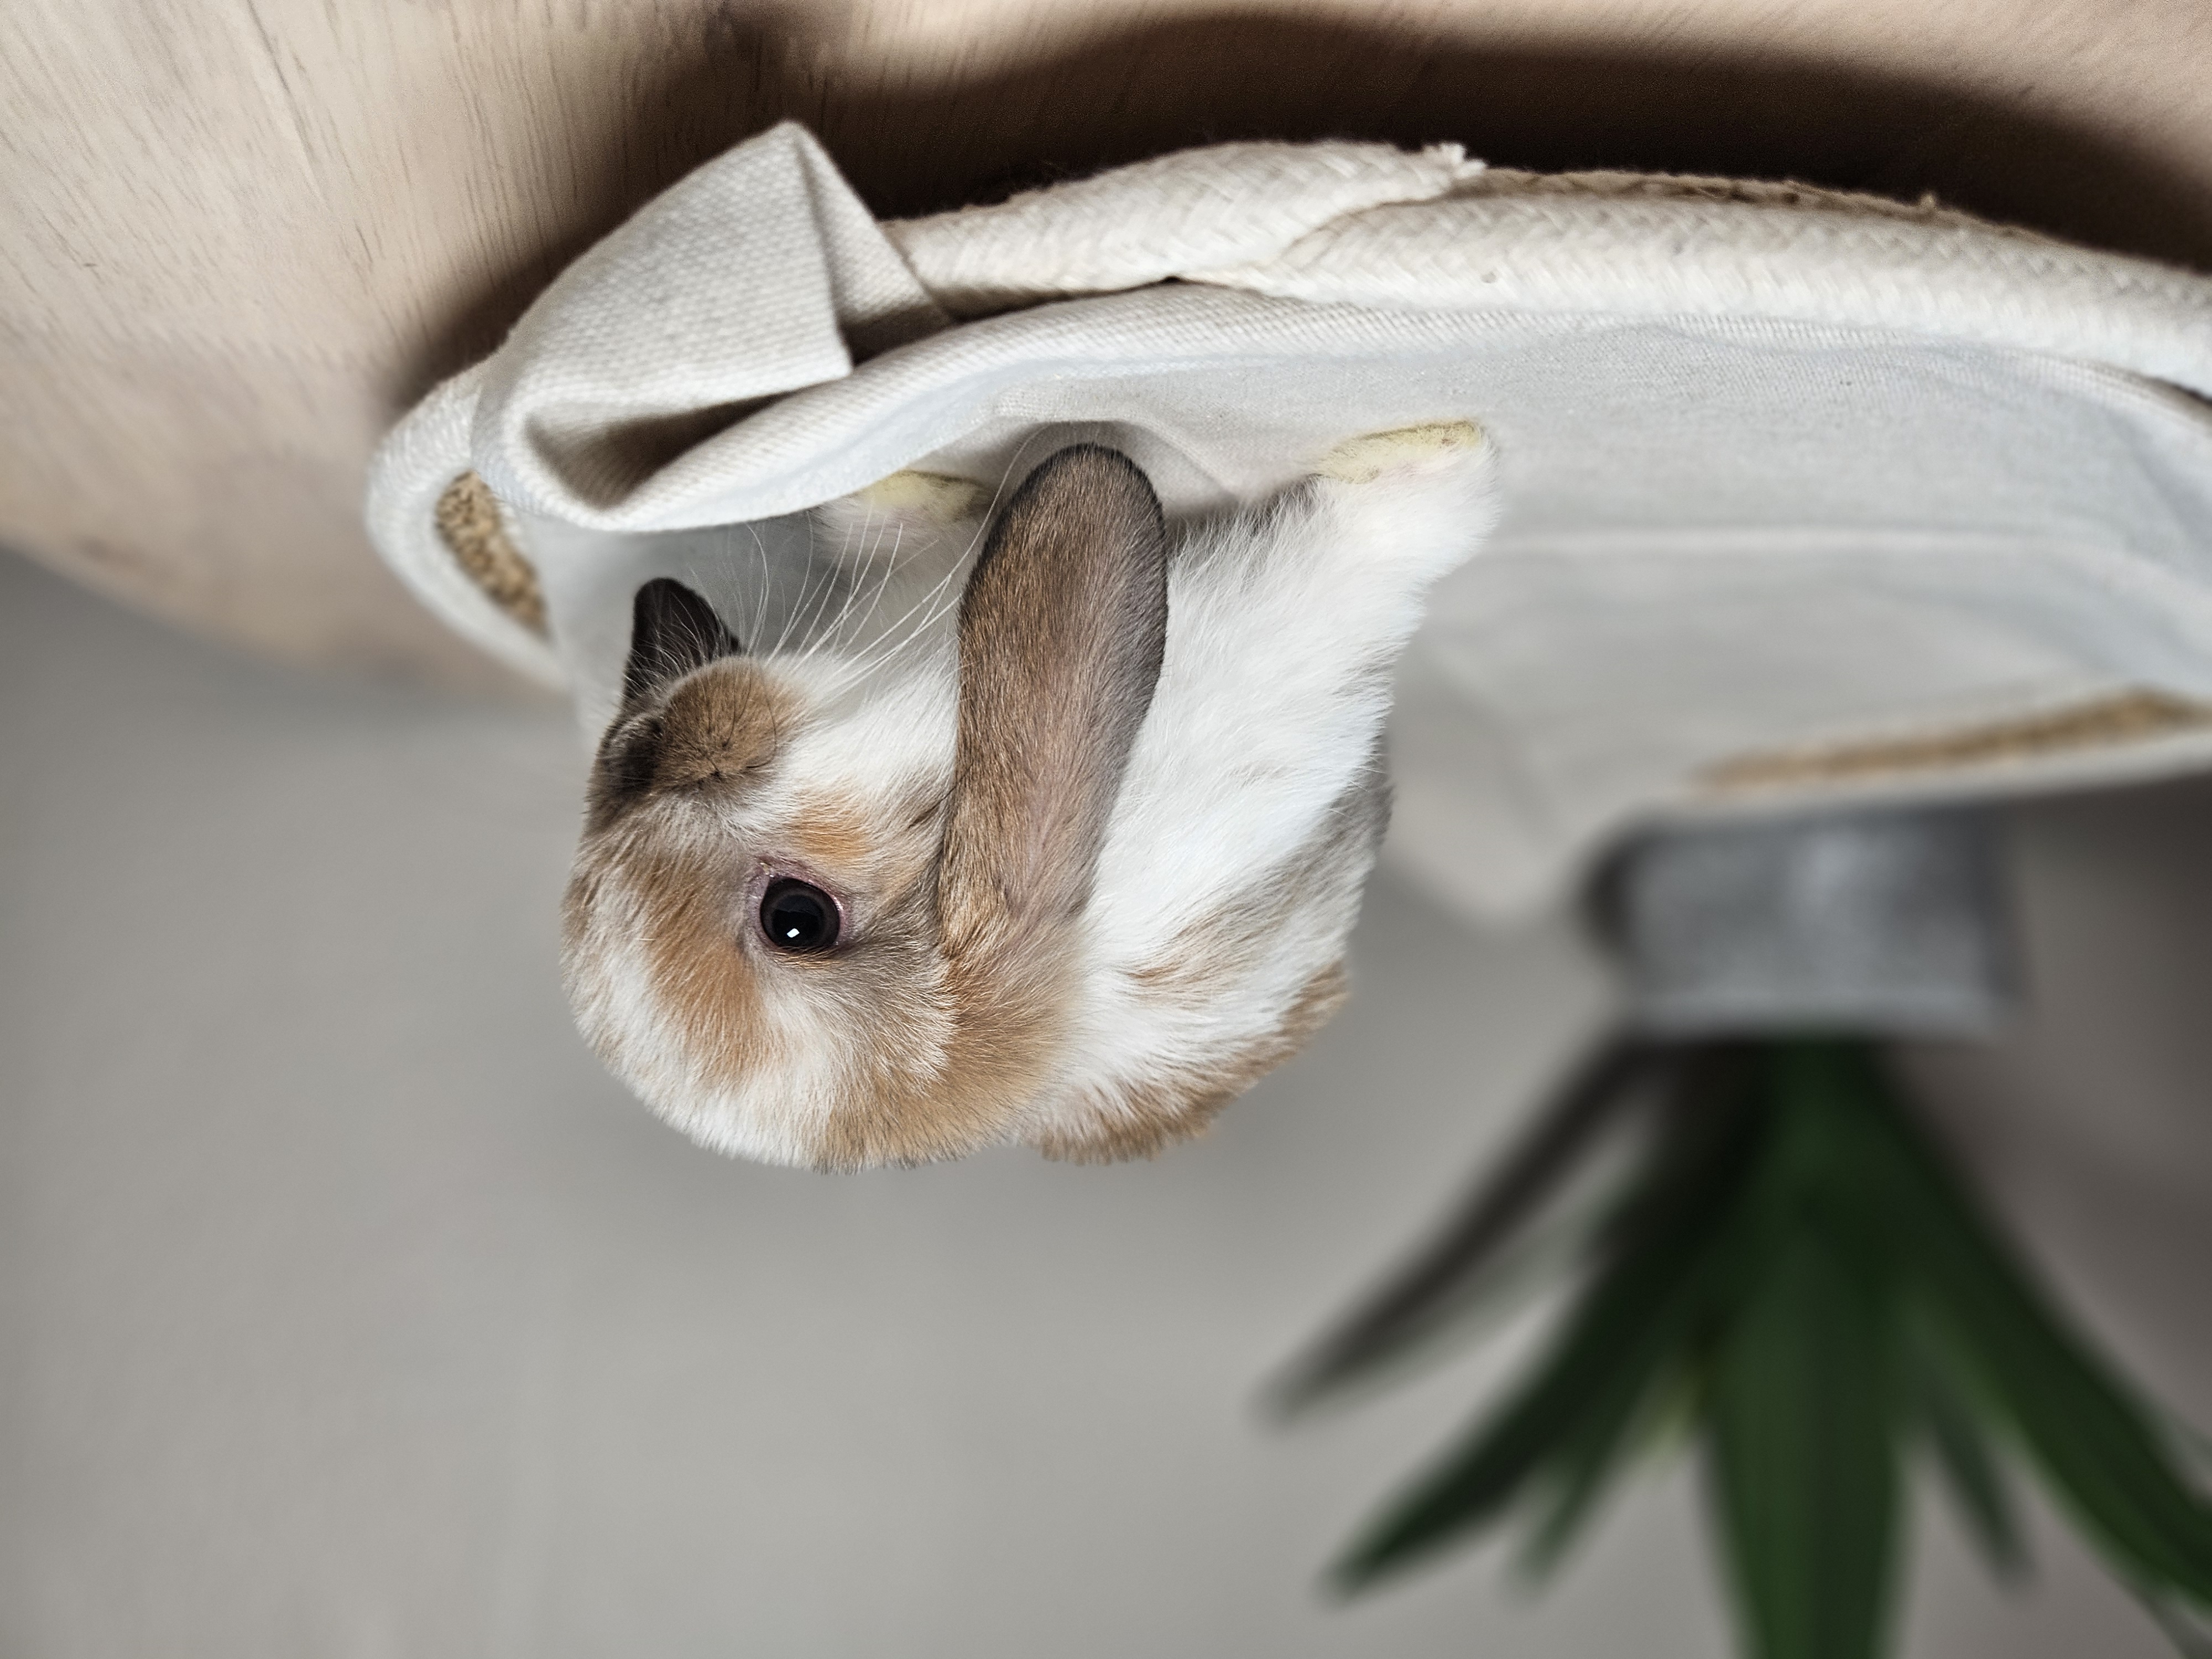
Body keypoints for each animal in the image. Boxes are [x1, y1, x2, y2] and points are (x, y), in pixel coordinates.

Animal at [562, 423, 1499, 1169]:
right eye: (797, 919)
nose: (647, 747)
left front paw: (901, 480)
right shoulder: (1300, 609)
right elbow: (1385, 532)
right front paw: (1450, 451)